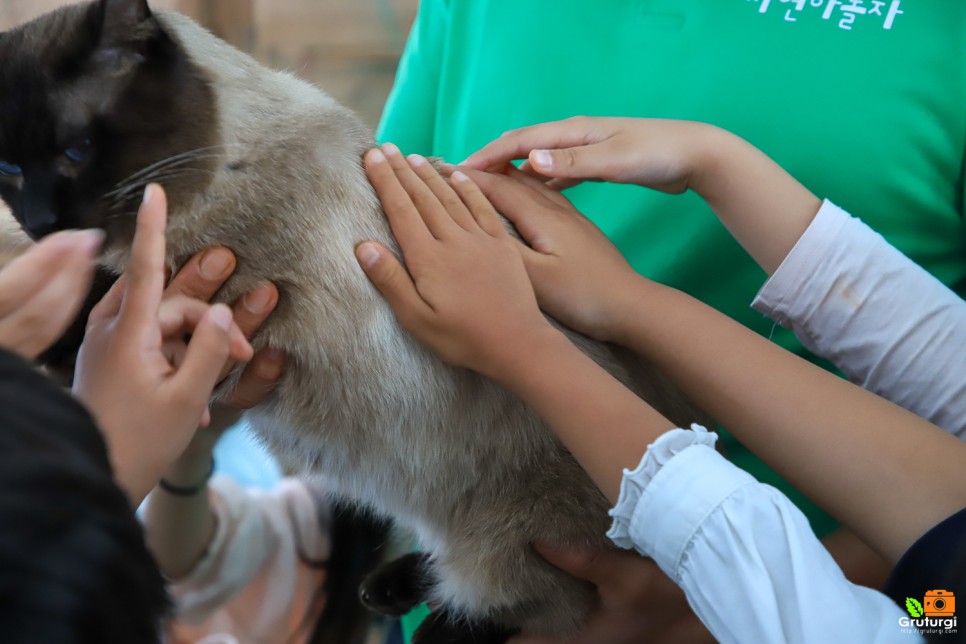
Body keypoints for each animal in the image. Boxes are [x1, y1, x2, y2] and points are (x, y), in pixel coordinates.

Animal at [0, 1, 704, 640]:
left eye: (76, 150)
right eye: (8, 167)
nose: (39, 222)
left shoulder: (253, 308)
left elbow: (113, 305)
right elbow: (97, 290)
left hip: (518, 535)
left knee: (527, 607)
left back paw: (440, 624)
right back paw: (389, 588)